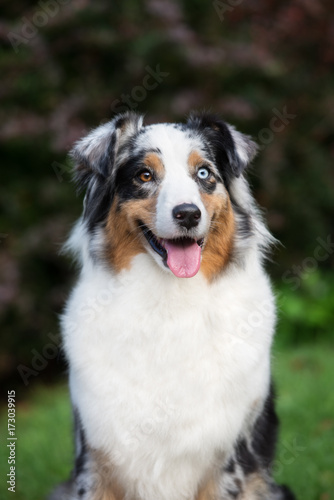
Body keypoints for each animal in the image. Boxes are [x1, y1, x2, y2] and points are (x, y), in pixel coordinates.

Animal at [50, 112, 294, 500]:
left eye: (204, 173)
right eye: (144, 176)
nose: (188, 214)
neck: (170, 299)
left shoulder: (230, 459)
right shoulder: (95, 457)